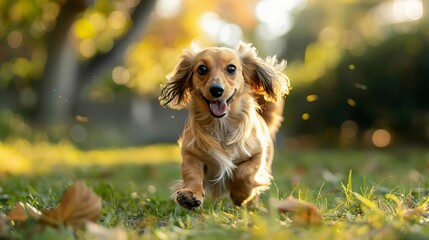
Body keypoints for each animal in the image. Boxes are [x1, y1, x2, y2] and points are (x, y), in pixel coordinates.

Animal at [159, 40, 290, 208]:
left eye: (231, 68)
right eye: (202, 69)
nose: (216, 90)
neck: (220, 125)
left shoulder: (257, 154)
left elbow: (244, 172)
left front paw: (240, 193)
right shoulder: (191, 153)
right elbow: (192, 173)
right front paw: (190, 194)